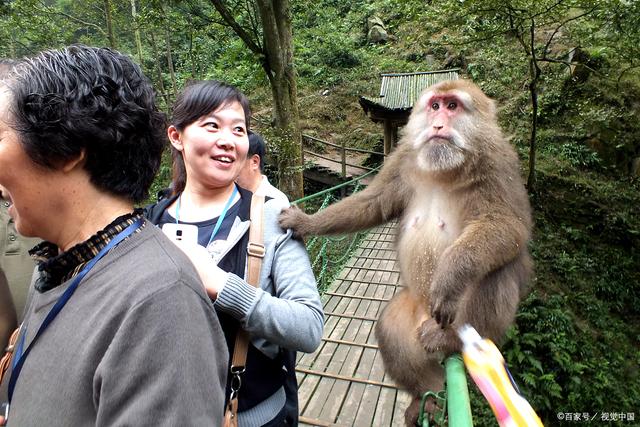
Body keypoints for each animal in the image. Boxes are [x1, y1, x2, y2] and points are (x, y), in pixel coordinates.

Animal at [278, 79, 532, 424]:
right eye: (435, 106)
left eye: (453, 106)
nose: (437, 124)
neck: (444, 167)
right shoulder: (403, 159)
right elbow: (373, 203)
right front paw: (305, 222)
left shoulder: (498, 161)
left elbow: (508, 226)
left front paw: (451, 276)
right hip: (414, 310)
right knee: (390, 329)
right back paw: (427, 396)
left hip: (456, 318)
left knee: (498, 268)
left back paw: (452, 339)